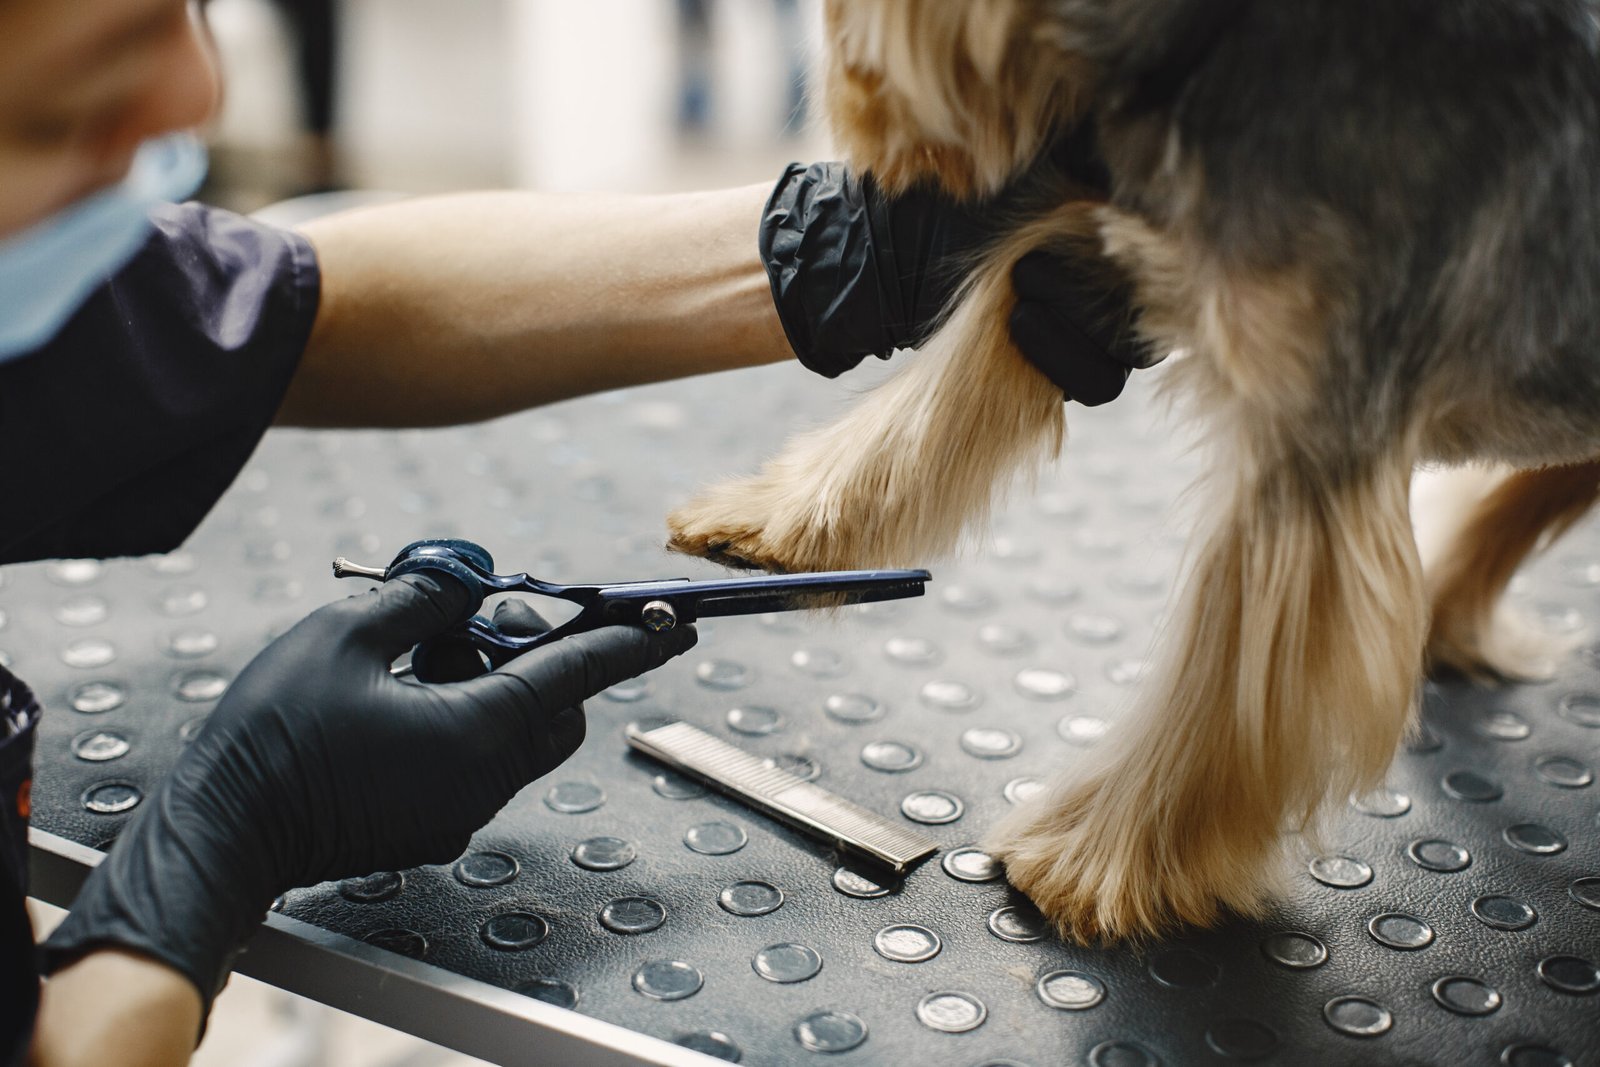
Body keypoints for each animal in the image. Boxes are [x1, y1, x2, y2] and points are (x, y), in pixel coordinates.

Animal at [668, 0, 1600, 940]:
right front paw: (786, 521)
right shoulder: (1089, 255)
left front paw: (1092, 857)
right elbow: (950, 379)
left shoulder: (1309, 443)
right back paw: (1448, 612)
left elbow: (1222, 683)